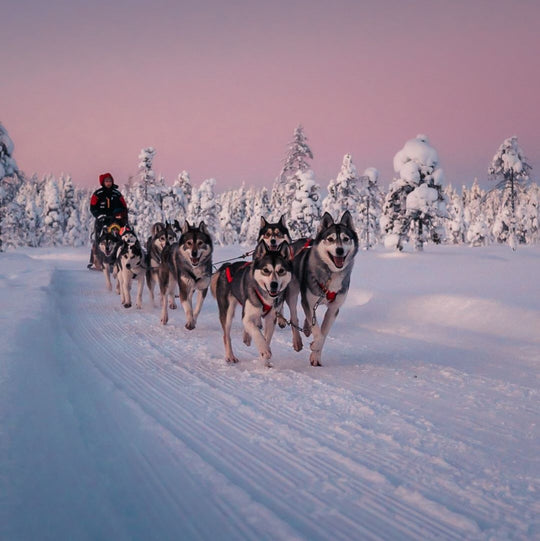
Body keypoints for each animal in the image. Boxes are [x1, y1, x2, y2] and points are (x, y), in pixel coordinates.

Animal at [212, 240, 296, 368]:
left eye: (281, 270)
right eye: (266, 270)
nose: (274, 284)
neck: (266, 297)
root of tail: (227, 266)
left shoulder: (271, 319)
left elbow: (266, 338)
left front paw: (265, 362)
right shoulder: (247, 317)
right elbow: (257, 333)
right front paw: (264, 350)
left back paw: (246, 337)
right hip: (227, 312)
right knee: (226, 336)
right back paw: (230, 356)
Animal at [286, 211, 358, 368]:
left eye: (346, 239)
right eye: (330, 239)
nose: (339, 250)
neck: (331, 274)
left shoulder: (333, 309)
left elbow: (323, 334)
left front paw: (315, 356)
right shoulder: (309, 301)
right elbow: (318, 333)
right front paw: (314, 345)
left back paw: (307, 329)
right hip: (292, 292)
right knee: (294, 316)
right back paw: (297, 341)